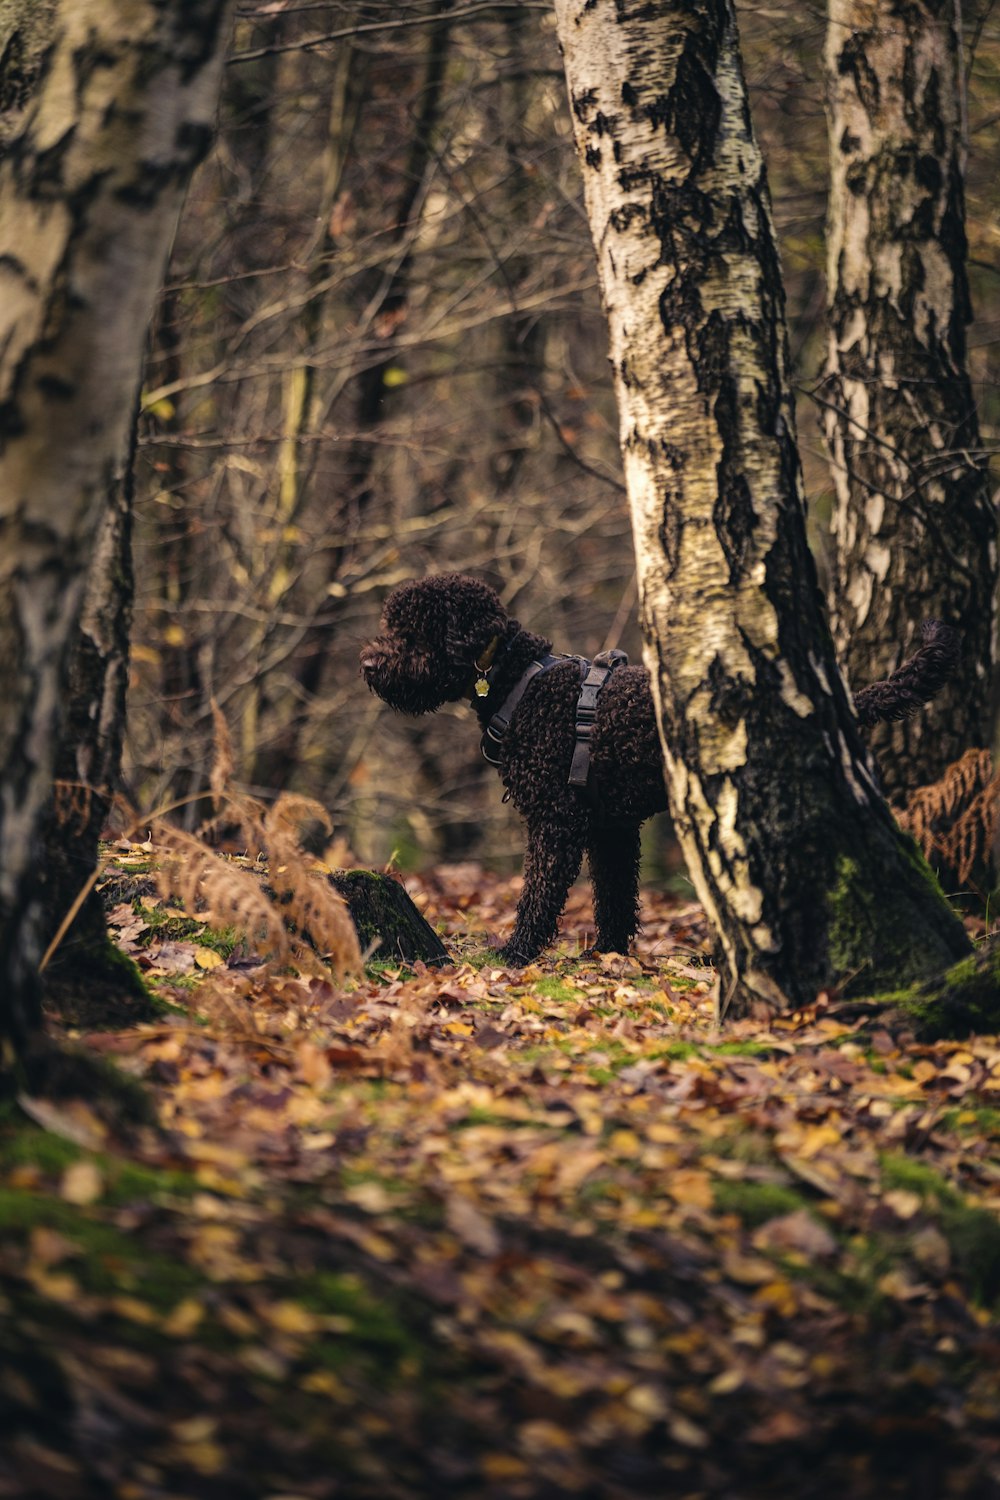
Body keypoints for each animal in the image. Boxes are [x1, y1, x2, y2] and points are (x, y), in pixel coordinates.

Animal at [361, 567, 959, 966]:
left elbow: (540, 893)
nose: (367, 662)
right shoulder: (610, 825)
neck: (521, 679)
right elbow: (615, 895)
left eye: (411, 631)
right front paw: (607, 955)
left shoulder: (557, 821)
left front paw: (515, 952)